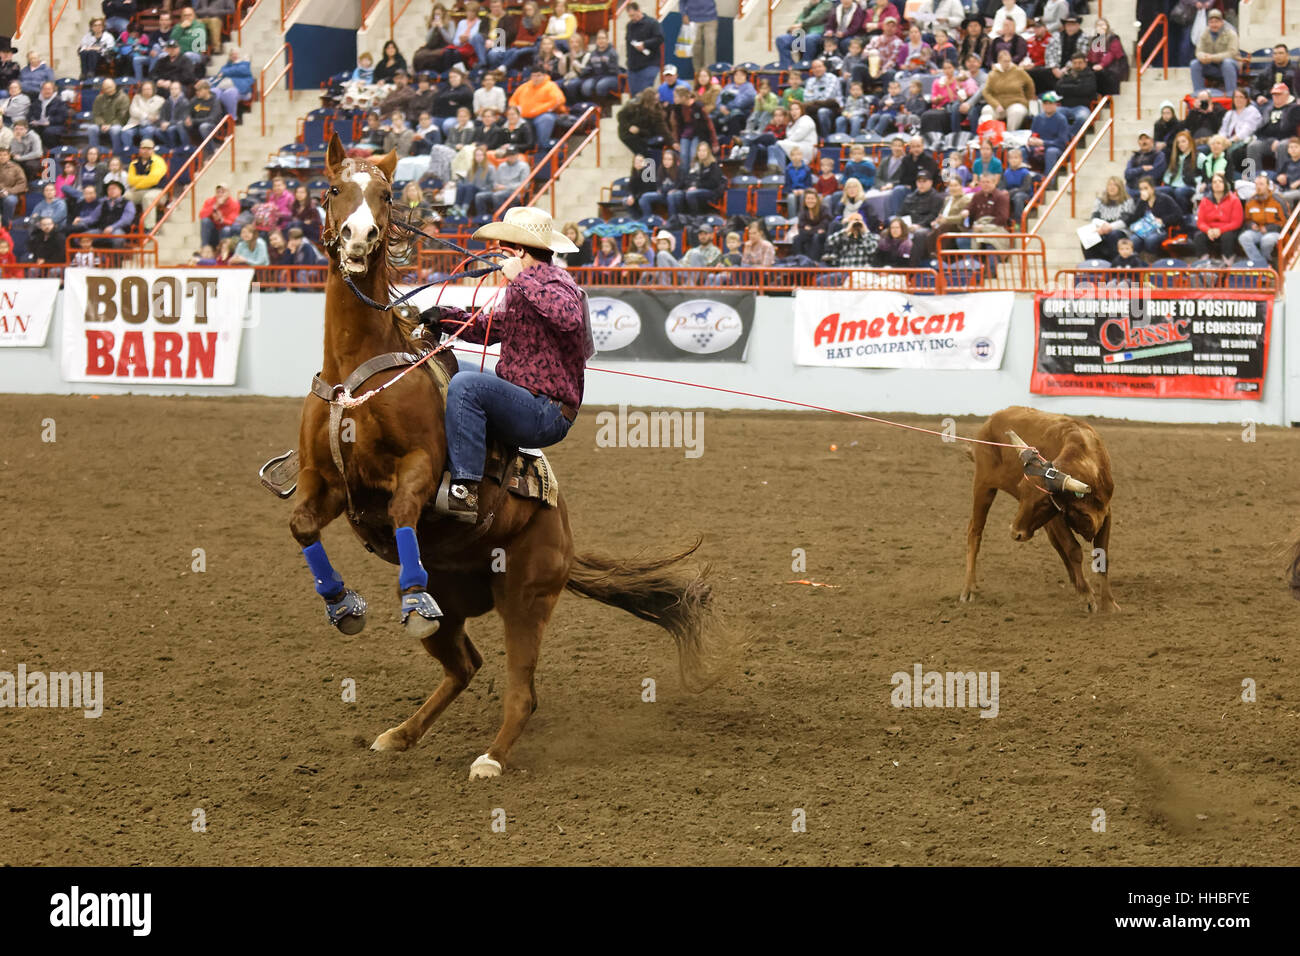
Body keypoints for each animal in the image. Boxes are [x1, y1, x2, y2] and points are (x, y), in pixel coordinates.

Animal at [287, 132, 722, 780]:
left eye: (385, 195)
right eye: (334, 188)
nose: (360, 236)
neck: (358, 368)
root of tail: (566, 534)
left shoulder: (418, 468)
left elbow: (405, 510)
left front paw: (409, 588)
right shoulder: (328, 481)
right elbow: (301, 525)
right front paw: (341, 604)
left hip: (524, 597)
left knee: (522, 689)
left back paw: (490, 757)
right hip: (458, 605)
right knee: (465, 665)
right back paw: (400, 733)